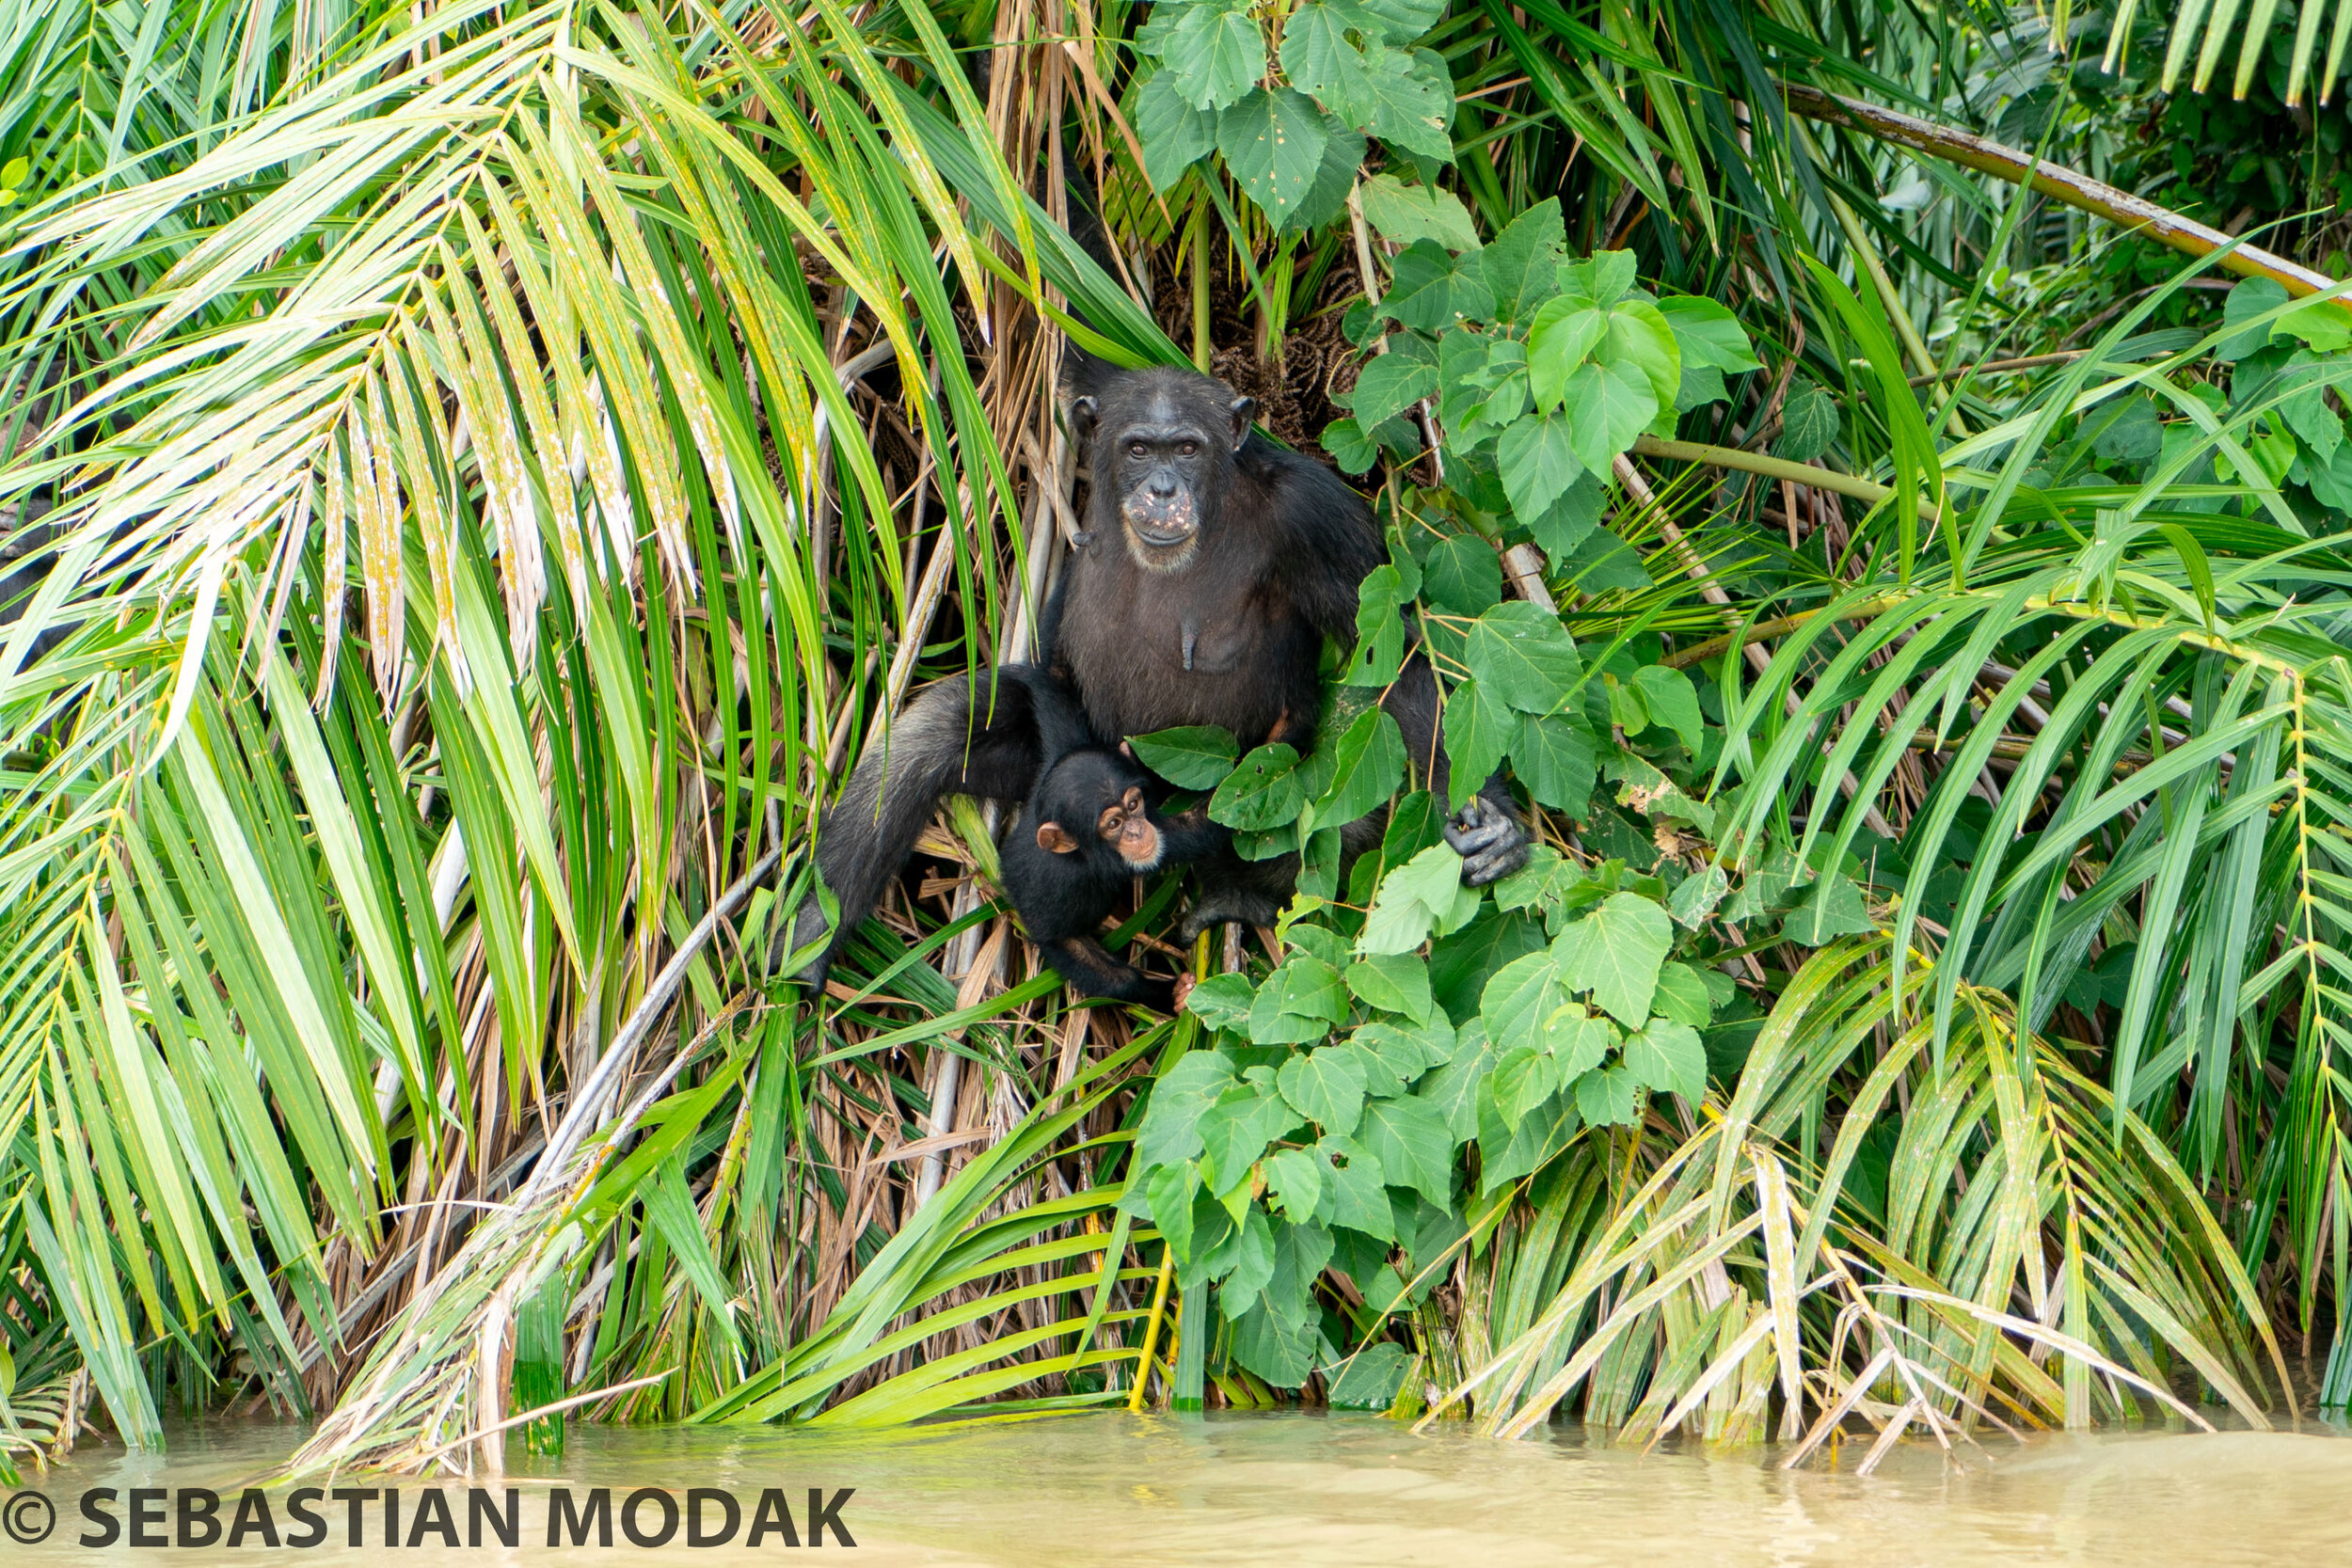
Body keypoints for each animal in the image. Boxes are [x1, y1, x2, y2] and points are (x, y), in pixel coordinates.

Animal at [781, 361, 1534, 987]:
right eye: (1140, 448)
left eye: (1188, 449)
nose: (1163, 487)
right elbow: (1055, 663)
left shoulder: (1318, 516)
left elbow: (1395, 656)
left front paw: (1494, 829)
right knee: (938, 730)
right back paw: (812, 936)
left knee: (1340, 800)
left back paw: (1239, 898)